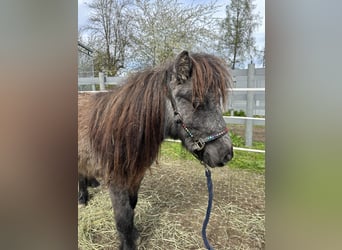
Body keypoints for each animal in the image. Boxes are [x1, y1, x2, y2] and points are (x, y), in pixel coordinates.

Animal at [78, 51, 234, 250]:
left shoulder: (136, 177)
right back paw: (82, 199)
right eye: (196, 102)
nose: (227, 154)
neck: (121, 131)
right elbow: (123, 219)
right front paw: (128, 243)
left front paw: (134, 235)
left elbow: (132, 207)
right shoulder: (117, 182)